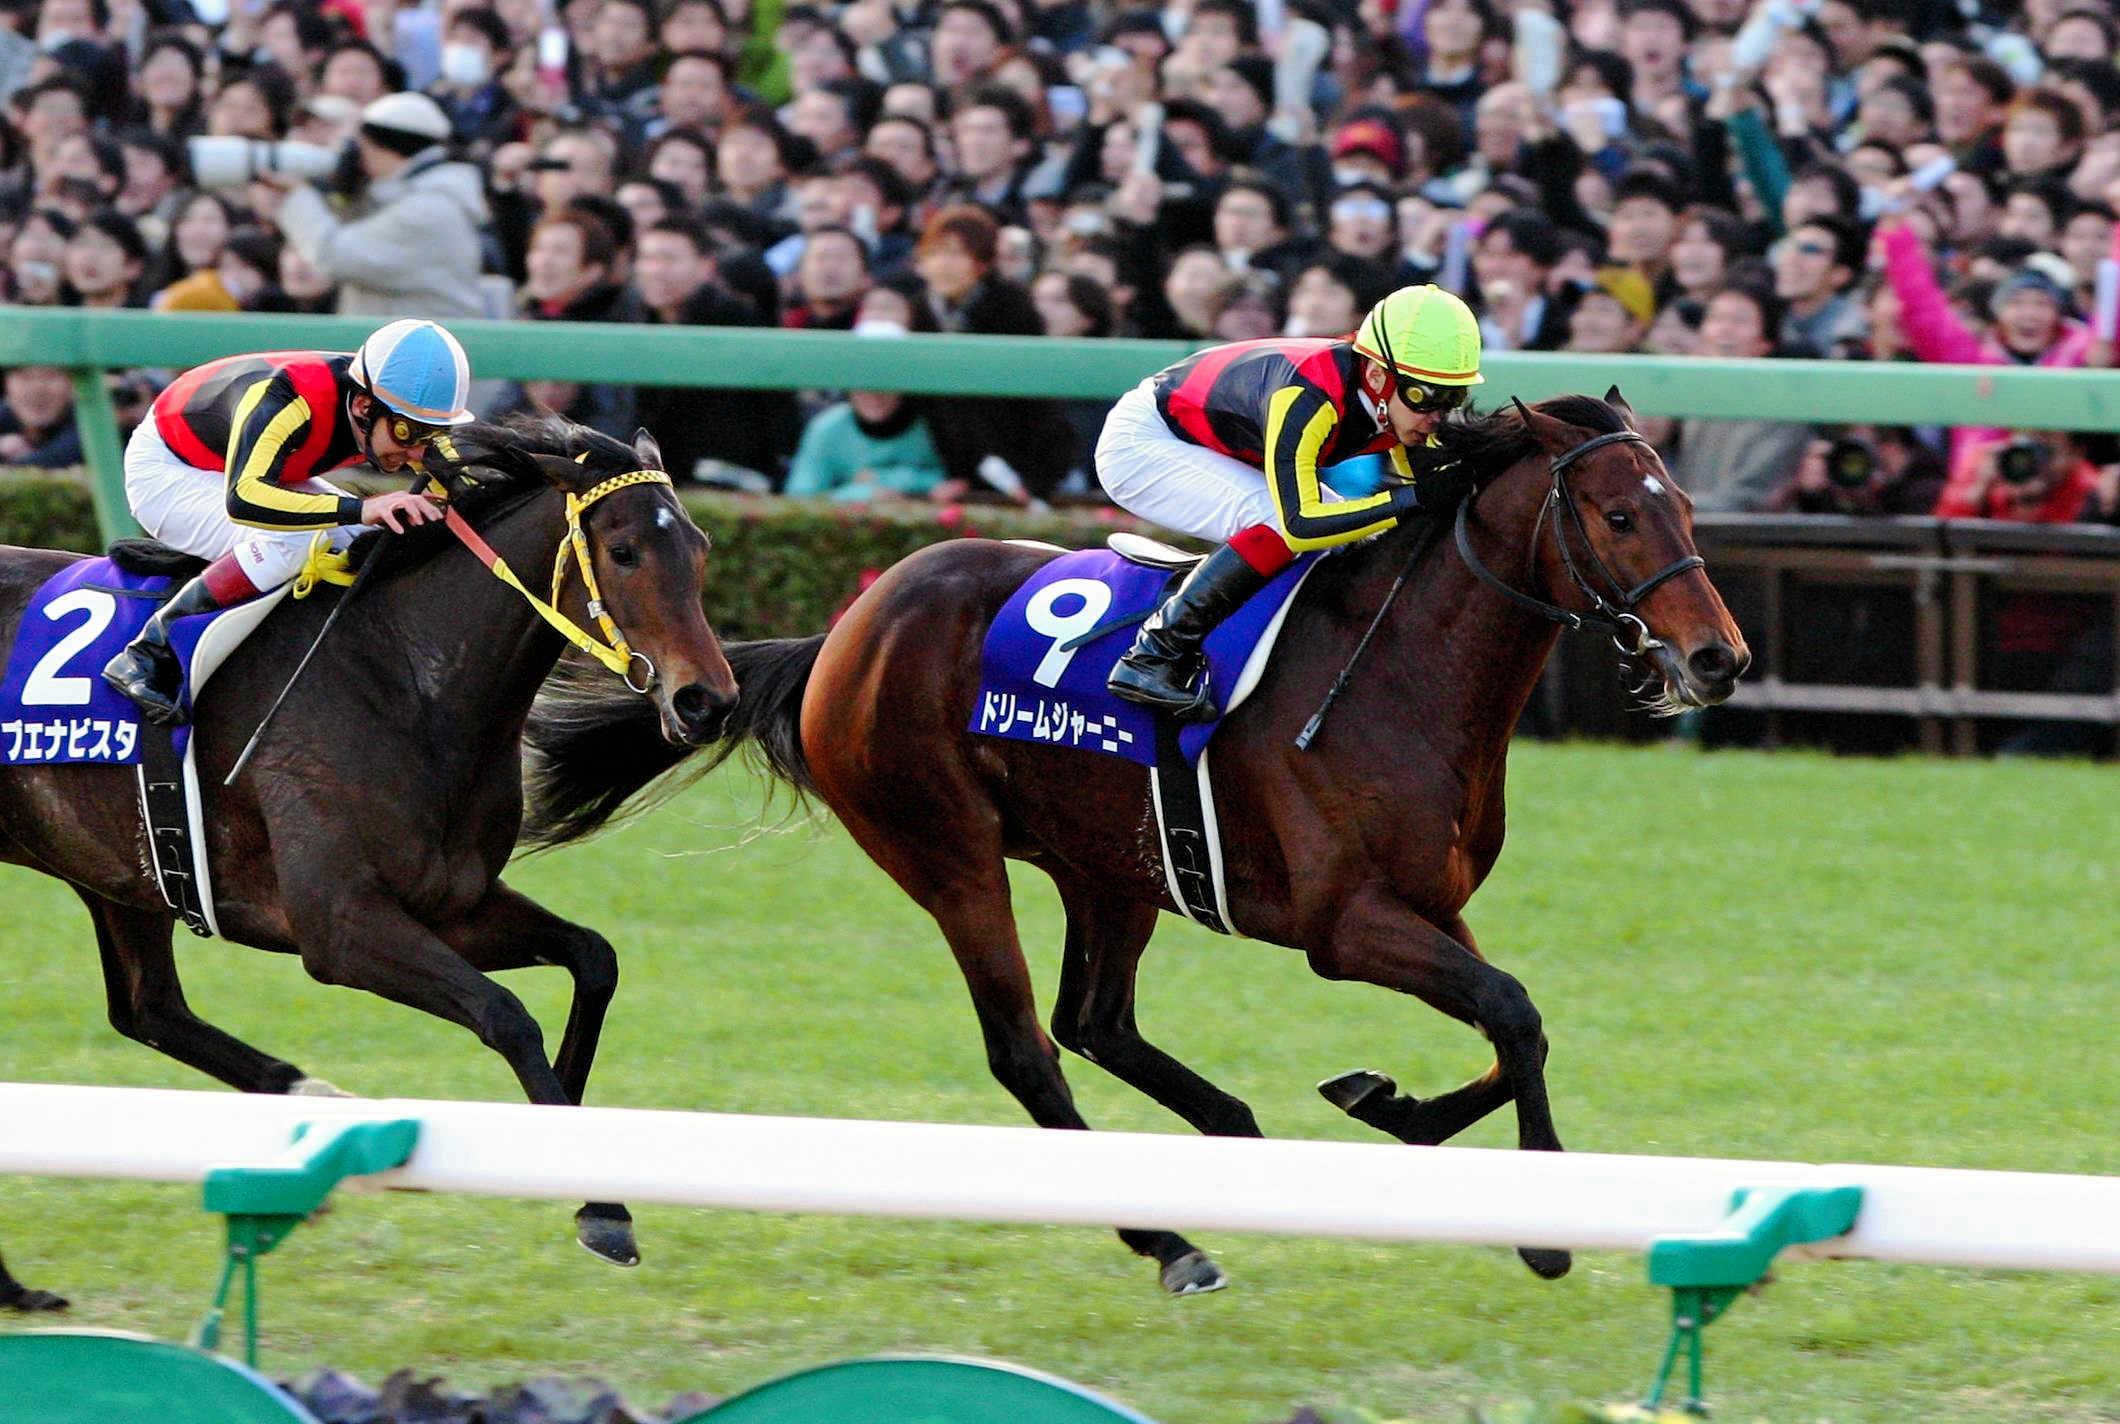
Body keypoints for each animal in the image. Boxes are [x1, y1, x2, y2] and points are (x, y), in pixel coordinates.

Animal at [0, 414, 736, 1271]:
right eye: (623, 552)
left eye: (700, 547)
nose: (708, 701)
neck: (404, 677)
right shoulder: (338, 926)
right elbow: (505, 1013)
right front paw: (600, 1202)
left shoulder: (453, 900)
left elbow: (594, 957)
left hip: (121, 870)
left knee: (147, 1008)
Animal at [518, 392, 1749, 1293]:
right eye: (1618, 518)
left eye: (1685, 505)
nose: (1717, 658)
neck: (1400, 673)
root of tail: (846, 629)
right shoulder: (1345, 926)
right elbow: (1513, 1011)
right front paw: (1543, 1226)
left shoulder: (1431, 902)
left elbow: (1510, 1024)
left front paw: (1386, 1104)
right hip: (949, 854)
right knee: (1028, 1047)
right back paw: (1167, 1238)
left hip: (1111, 867)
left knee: (1094, 1020)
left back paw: (1229, 1144)